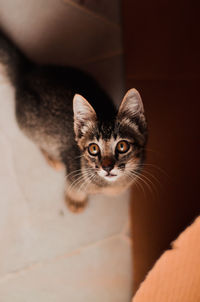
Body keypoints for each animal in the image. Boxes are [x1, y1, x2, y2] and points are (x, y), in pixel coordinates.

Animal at [0, 28, 147, 212]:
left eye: (122, 146)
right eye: (93, 148)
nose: (107, 167)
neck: (108, 184)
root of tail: (29, 72)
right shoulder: (73, 174)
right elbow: (74, 187)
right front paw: (75, 200)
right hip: (31, 127)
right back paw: (53, 158)